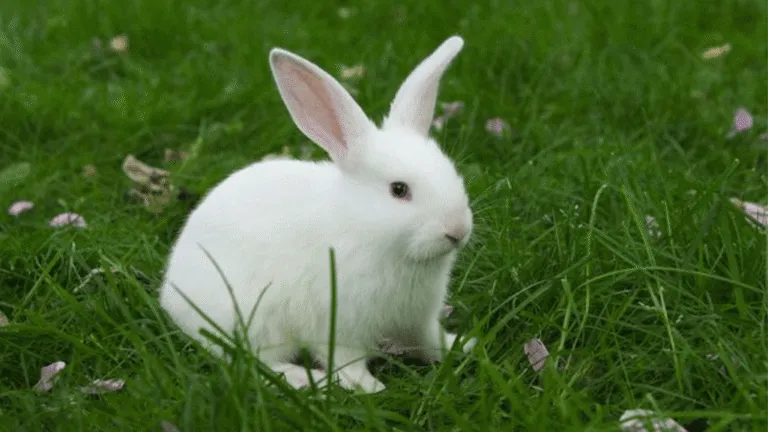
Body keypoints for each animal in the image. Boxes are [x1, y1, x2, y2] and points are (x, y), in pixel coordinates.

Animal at [159, 35, 476, 394]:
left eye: (452, 172)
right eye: (399, 190)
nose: (458, 230)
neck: (364, 229)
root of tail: (170, 294)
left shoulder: (419, 318)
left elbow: (429, 341)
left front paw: (462, 346)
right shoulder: (340, 324)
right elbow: (346, 361)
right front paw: (369, 387)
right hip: (253, 321)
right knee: (251, 361)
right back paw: (301, 379)